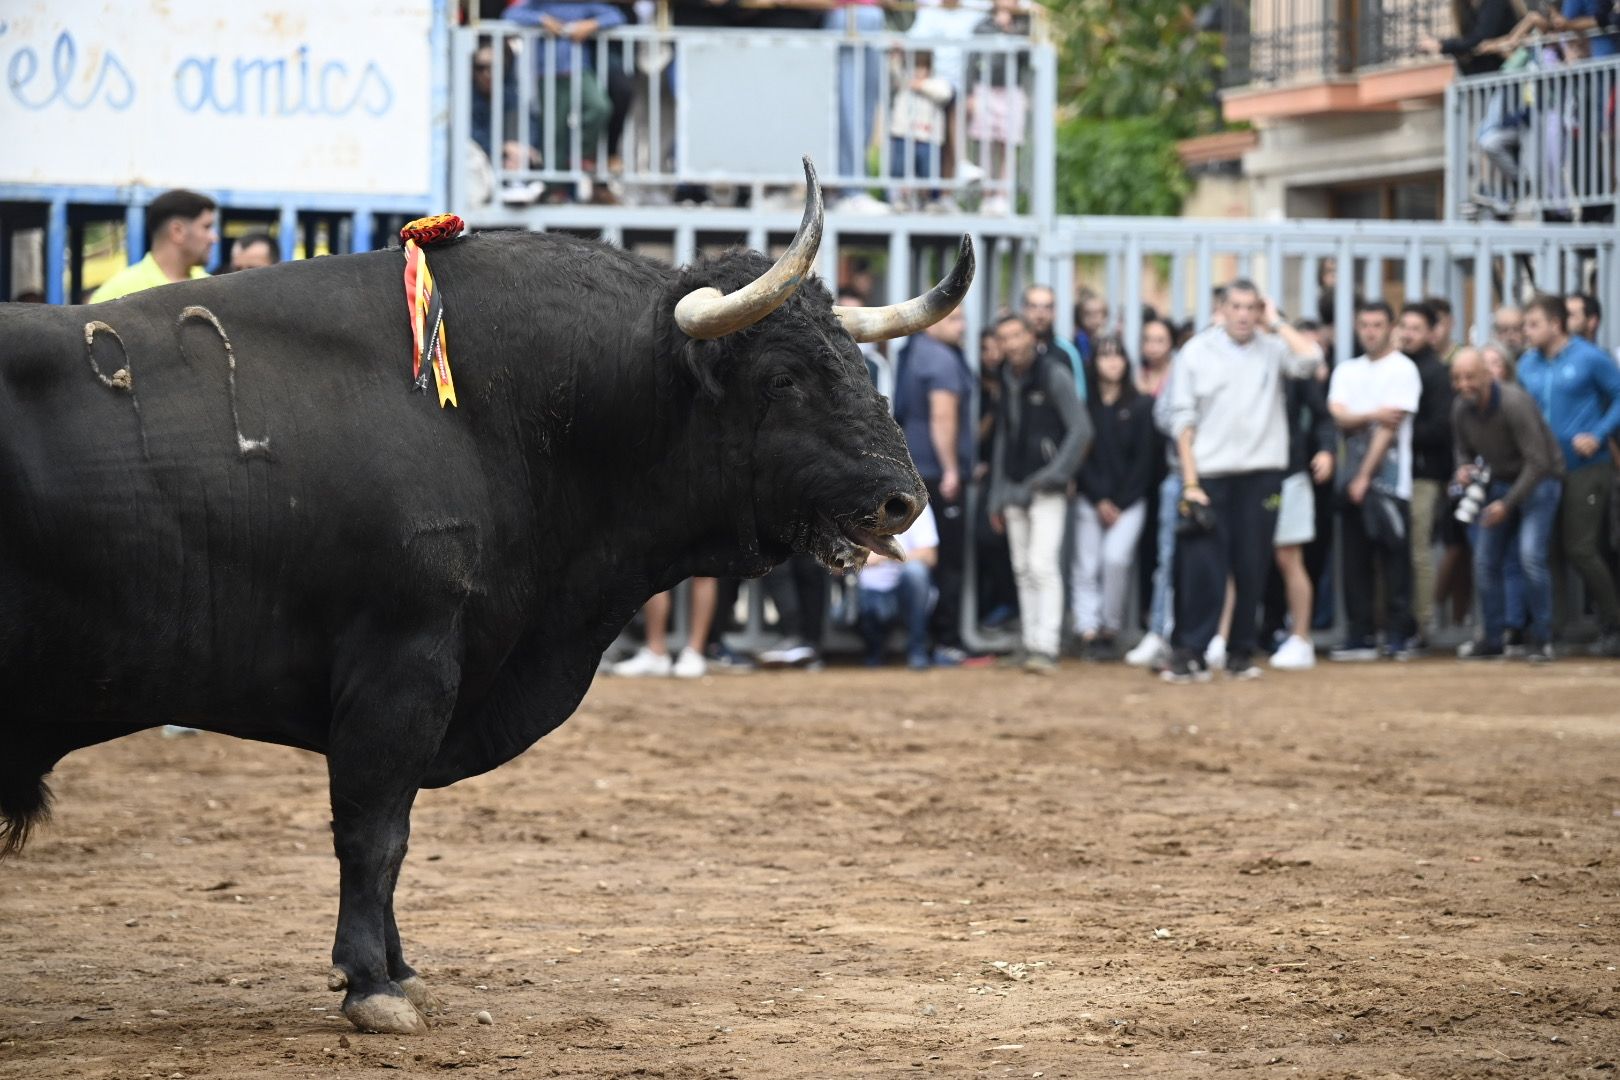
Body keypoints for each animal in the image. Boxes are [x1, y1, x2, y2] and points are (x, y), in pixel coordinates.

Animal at [0, 223, 959, 1036]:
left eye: (857, 362)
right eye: (786, 376)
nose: (903, 499)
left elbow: (392, 835)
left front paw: (399, 969)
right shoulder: (403, 669)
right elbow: (375, 830)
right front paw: (371, 986)